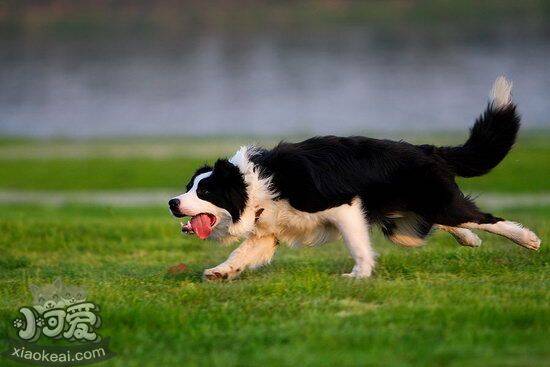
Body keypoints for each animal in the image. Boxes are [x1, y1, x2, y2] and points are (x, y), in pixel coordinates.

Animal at [169, 76, 544, 280]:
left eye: (206, 191)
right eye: (188, 187)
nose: (172, 203)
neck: (254, 185)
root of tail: (429, 150)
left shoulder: (343, 205)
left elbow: (357, 244)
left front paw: (358, 275)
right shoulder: (268, 230)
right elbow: (241, 254)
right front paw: (220, 272)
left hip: (435, 204)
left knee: (483, 217)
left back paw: (527, 239)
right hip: (405, 226)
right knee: (439, 223)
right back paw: (470, 240)